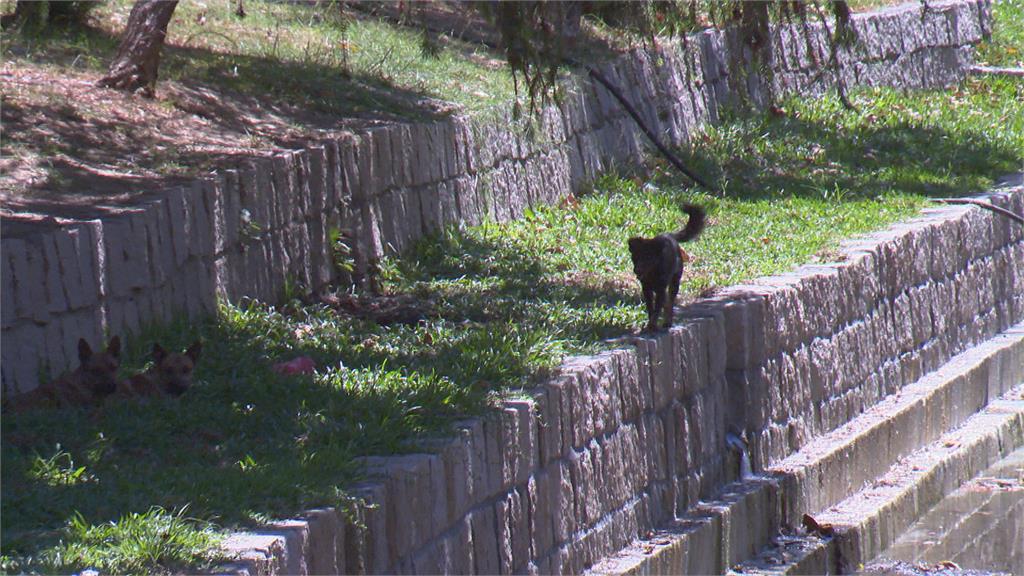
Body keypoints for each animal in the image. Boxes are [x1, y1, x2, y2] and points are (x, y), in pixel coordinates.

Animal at [626, 202, 708, 330]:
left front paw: (653, 324)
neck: (653, 273)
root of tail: (669, 235)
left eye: (648, 258)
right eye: (635, 258)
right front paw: (650, 324)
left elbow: (657, 309)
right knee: (666, 303)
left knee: (670, 302)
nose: (637, 270)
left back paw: (667, 322)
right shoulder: (646, 289)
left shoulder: (661, 289)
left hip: (675, 282)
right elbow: (651, 309)